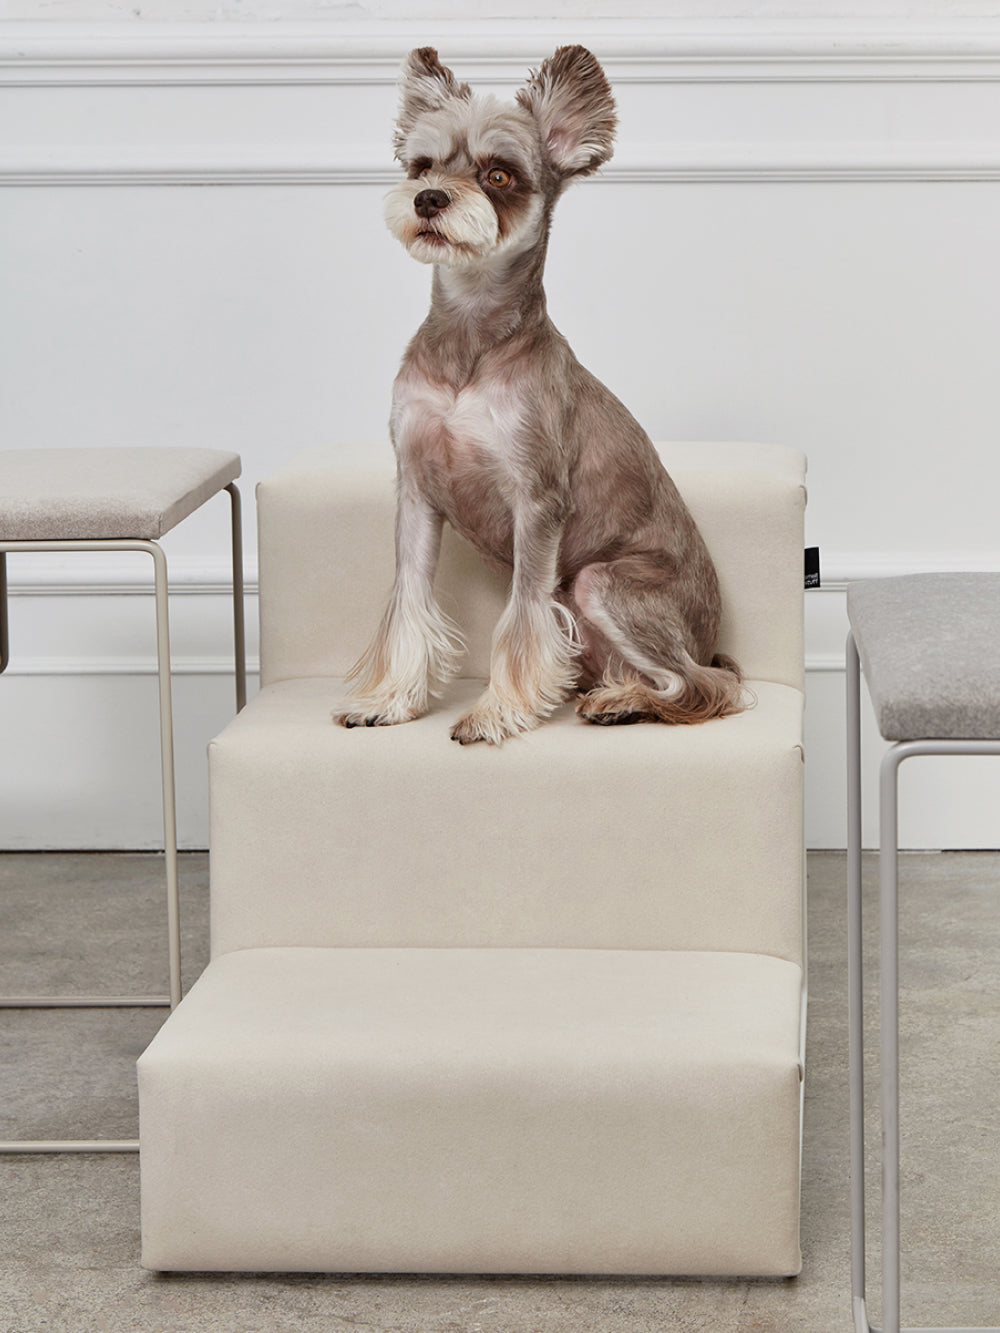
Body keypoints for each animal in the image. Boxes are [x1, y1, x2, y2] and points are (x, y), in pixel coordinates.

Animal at [337, 44, 746, 751]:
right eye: (422, 164)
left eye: (499, 175)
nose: (428, 198)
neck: (469, 341)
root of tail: (710, 630)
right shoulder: (416, 490)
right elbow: (409, 602)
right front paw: (391, 701)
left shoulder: (537, 499)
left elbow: (523, 616)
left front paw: (496, 712)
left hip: (602, 581)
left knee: (703, 684)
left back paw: (625, 703)